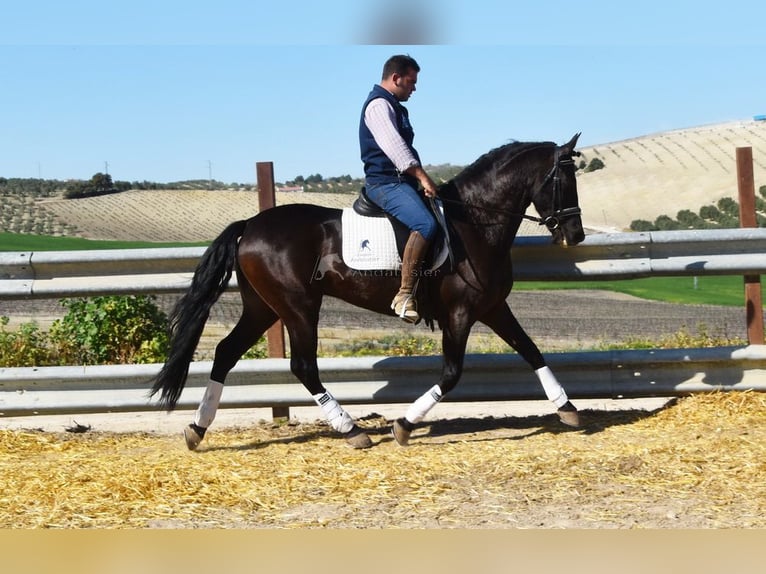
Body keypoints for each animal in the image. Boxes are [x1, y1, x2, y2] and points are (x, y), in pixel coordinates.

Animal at [153, 134, 592, 450]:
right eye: (564, 181)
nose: (576, 235)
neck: (474, 222)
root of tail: (250, 225)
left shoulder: (493, 306)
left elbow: (532, 351)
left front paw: (568, 408)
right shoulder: (461, 313)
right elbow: (452, 374)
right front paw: (404, 424)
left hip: (263, 307)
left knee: (226, 352)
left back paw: (197, 428)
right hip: (298, 306)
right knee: (303, 366)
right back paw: (351, 430)